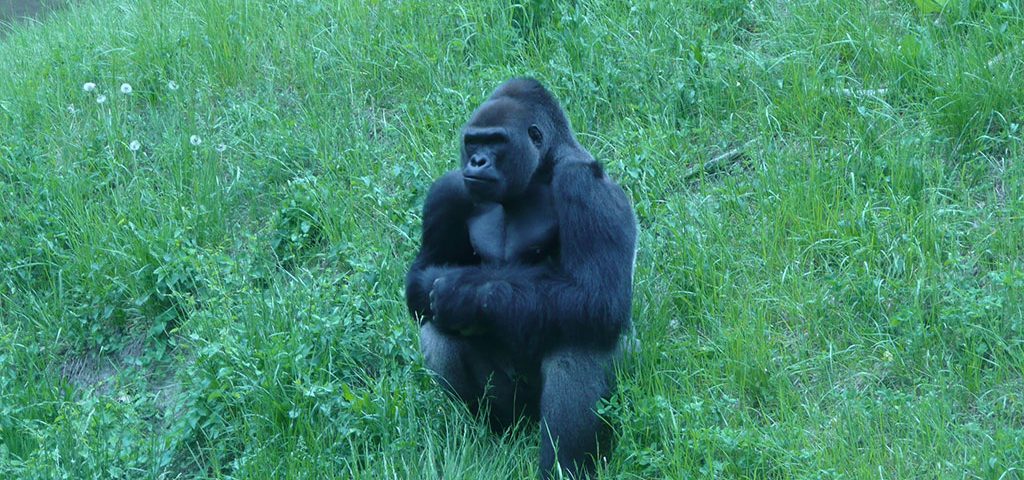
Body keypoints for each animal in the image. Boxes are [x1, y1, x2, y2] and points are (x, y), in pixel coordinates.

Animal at [405, 77, 630, 474]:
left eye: (497, 141)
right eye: (473, 142)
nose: (478, 161)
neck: (540, 170)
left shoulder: (586, 185)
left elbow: (600, 297)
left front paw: (462, 294)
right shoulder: (448, 190)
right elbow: (421, 279)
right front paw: (448, 291)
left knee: (578, 338)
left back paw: (564, 466)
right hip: (517, 412)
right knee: (438, 329)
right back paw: (493, 430)